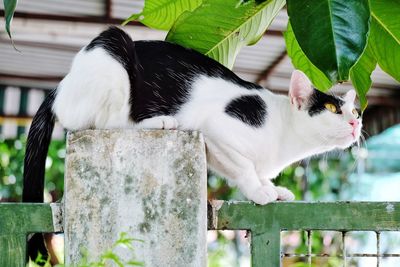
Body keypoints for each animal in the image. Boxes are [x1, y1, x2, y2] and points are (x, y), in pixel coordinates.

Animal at [22, 27, 362, 207]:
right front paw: (260, 190)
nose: (355, 122)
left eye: (355, 110)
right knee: (109, 122)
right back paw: (158, 121)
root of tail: (61, 85)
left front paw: (272, 187)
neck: (284, 138)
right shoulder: (216, 127)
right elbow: (246, 167)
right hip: (113, 49)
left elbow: (249, 168)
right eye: (332, 109)